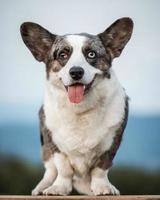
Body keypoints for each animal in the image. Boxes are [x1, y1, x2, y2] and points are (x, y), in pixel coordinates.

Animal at [20, 17, 132, 195]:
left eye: (91, 54)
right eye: (62, 55)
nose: (76, 72)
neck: (80, 109)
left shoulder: (112, 142)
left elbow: (101, 168)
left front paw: (103, 187)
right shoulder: (54, 143)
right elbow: (63, 169)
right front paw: (58, 188)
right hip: (46, 149)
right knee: (50, 171)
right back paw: (42, 187)